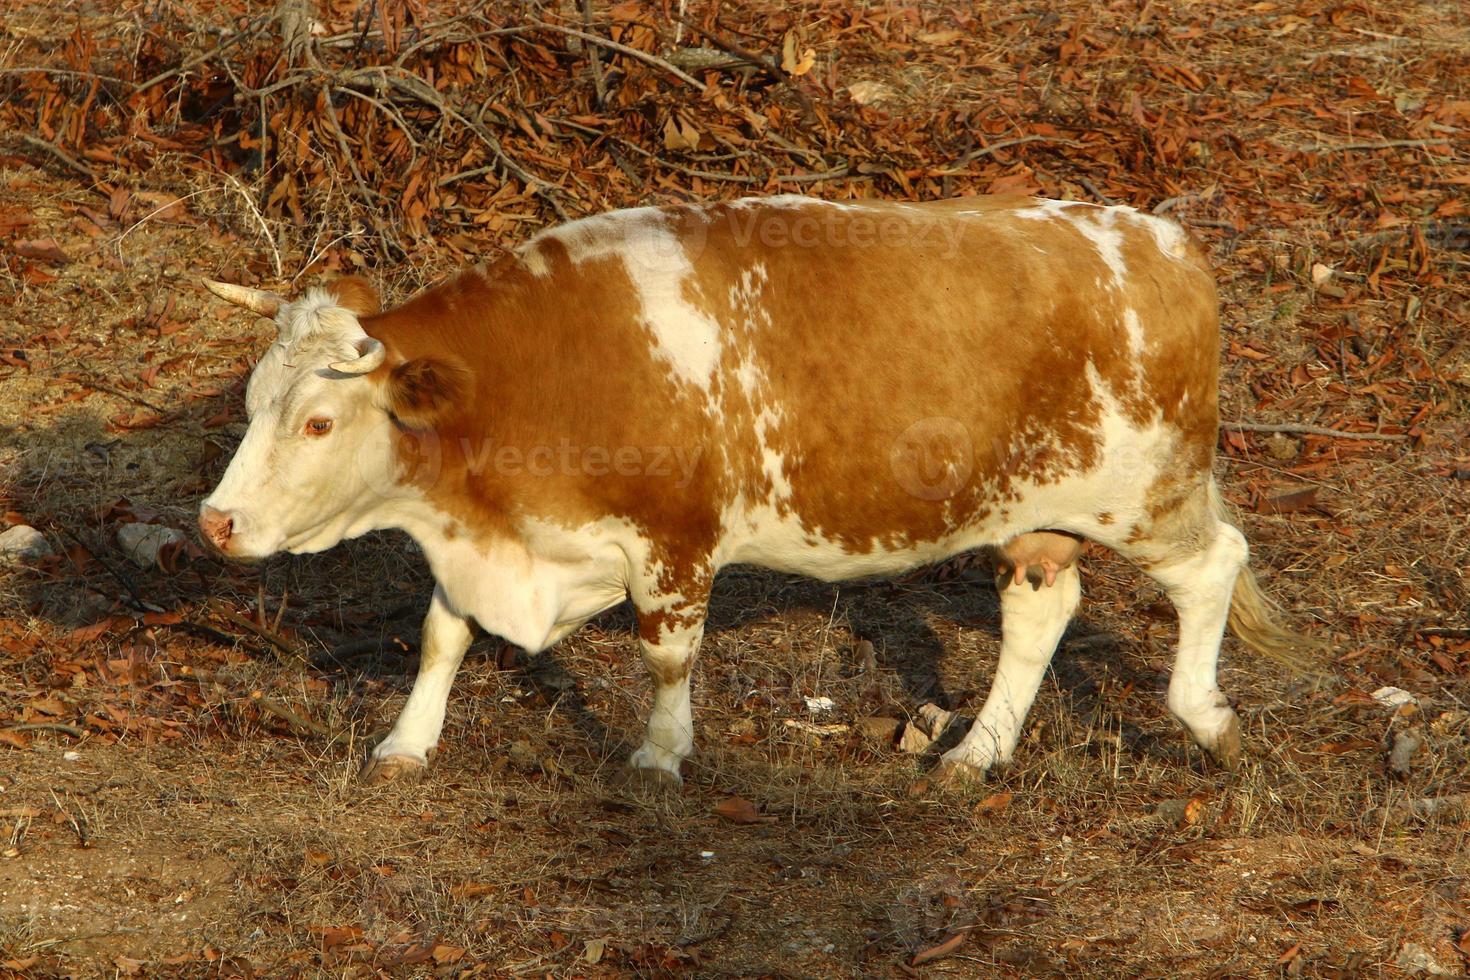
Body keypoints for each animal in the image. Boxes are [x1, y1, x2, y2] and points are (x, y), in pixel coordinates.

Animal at [195, 195, 1311, 787]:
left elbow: (666, 656)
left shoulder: (673, 541)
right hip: (1038, 513)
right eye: (251, 402)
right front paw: (405, 741)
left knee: (1216, 565)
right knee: (1041, 609)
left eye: (318, 421)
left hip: (1147, 494)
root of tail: (1160, 240)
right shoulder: (501, 538)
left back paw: (1207, 718)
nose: (216, 521)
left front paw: (660, 757)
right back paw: (976, 749)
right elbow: (443, 634)